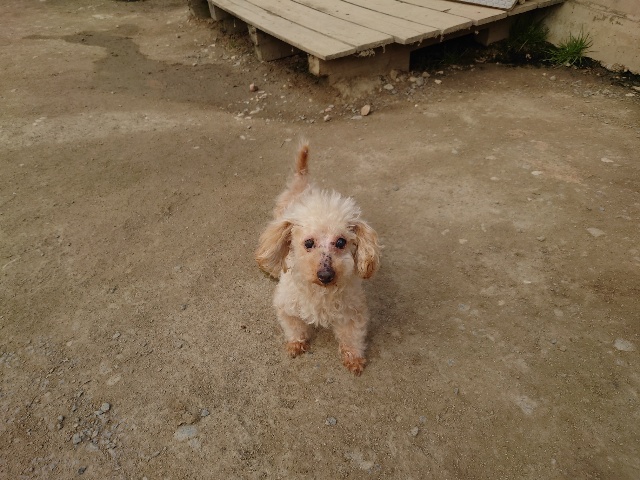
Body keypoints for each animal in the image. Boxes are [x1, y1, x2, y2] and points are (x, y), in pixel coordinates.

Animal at [255, 142, 380, 375]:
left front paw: (354, 358)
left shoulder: (353, 311)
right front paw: (296, 344)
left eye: (340, 242)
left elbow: (352, 336)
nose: (325, 275)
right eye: (308, 243)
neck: (320, 293)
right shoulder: (286, 307)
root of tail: (302, 181)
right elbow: (294, 327)